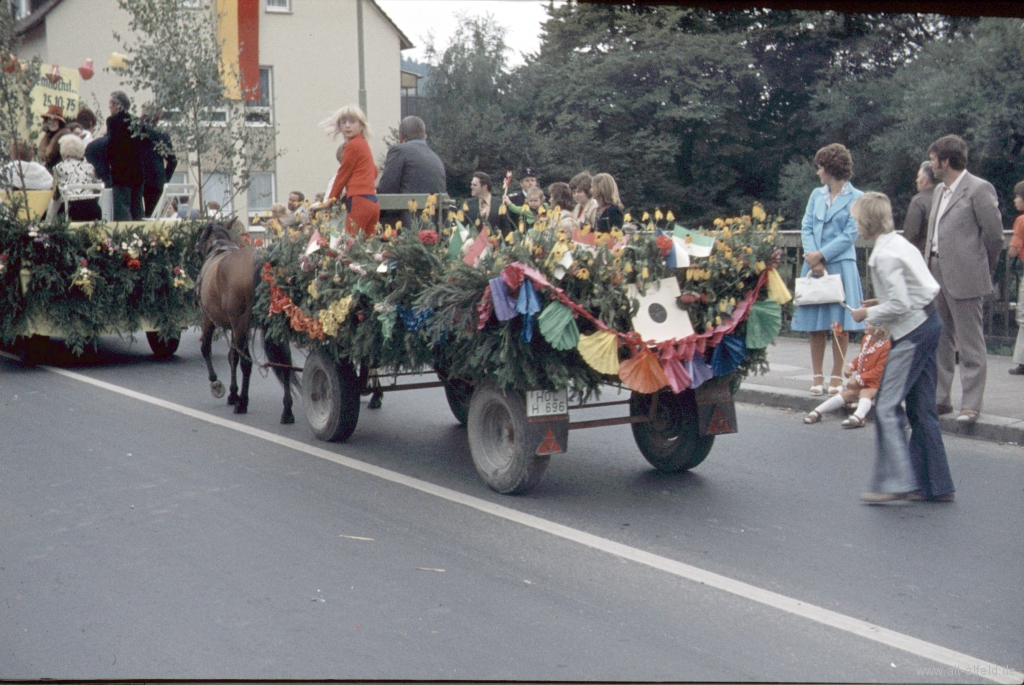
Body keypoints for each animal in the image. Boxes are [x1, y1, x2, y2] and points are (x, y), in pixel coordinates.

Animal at [194, 220, 299, 421]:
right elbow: (232, 356)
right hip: (272, 325)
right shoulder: (239, 328)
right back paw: (287, 410)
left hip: (239, 323)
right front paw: (233, 393)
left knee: (247, 363)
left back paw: (243, 403)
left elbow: (207, 349)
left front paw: (217, 383)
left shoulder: (209, 318)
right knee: (285, 361)